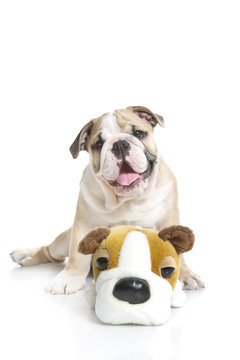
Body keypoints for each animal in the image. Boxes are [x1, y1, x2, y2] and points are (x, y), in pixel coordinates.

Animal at [10, 105, 203, 294]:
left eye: (138, 133)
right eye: (99, 144)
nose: (120, 144)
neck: (128, 199)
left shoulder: (168, 219)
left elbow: (178, 252)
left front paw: (186, 275)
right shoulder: (84, 224)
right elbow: (77, 256)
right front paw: (69, 277)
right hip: (63, 242)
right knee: (49, 252)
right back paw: (26, 255)